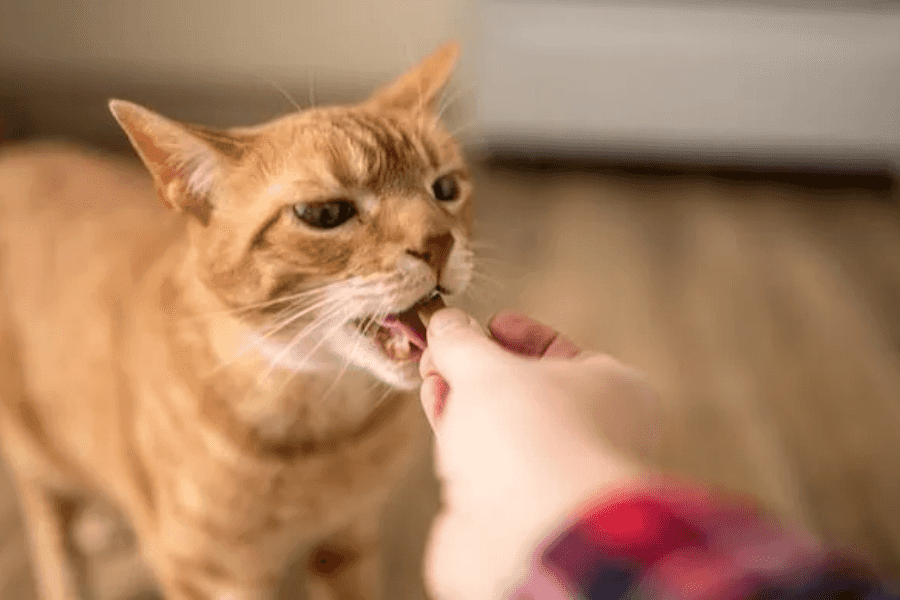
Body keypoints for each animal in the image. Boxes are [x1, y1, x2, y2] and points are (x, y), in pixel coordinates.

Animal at [0, 43, 472, 600]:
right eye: (324, 214)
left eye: (445, 188)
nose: (439, 243)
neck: (325, 432)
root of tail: (16, 156)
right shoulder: (209, 575)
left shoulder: (348, 538)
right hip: (33, 452)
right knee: (53, 534)